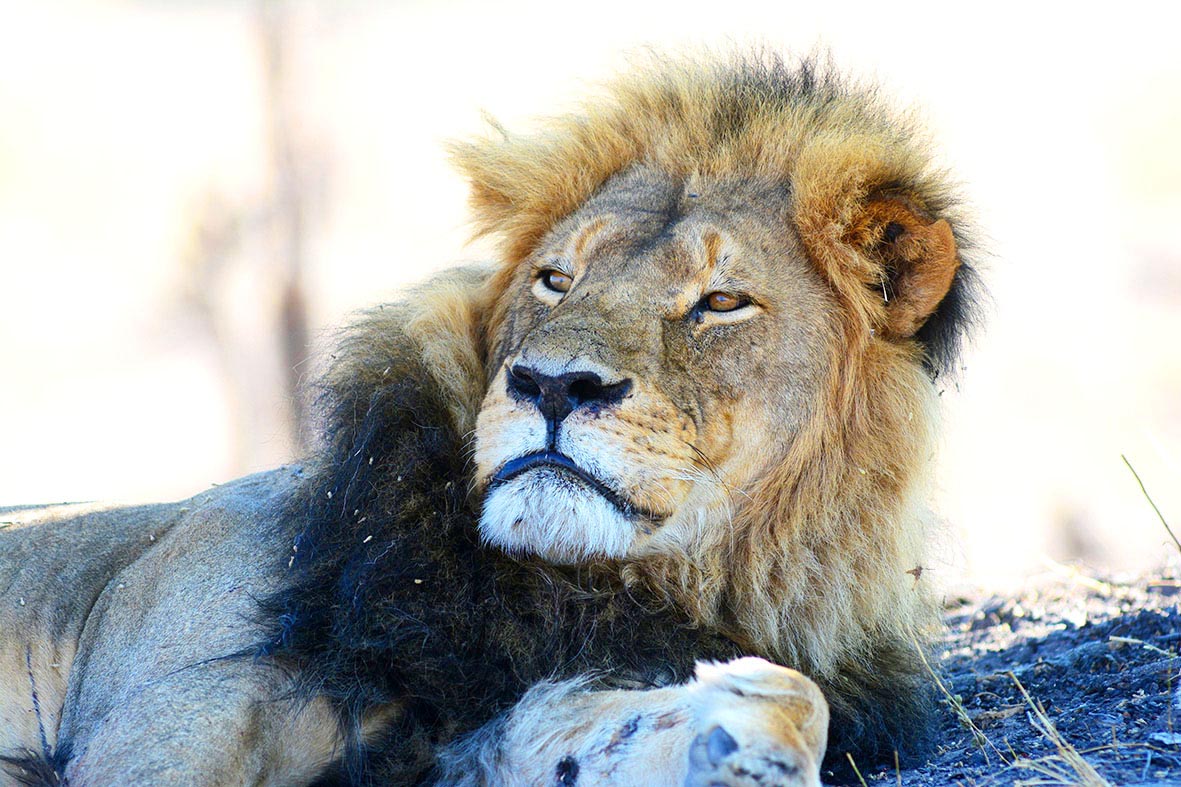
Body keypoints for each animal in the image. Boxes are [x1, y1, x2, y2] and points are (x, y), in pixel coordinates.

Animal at [0, 51, 978, 786]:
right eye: (556, 280)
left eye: (721, 302)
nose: (552, 384)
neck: (577, 590)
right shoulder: (181, 713)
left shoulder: (496, 716)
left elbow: (775, 696)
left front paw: (733, 735)